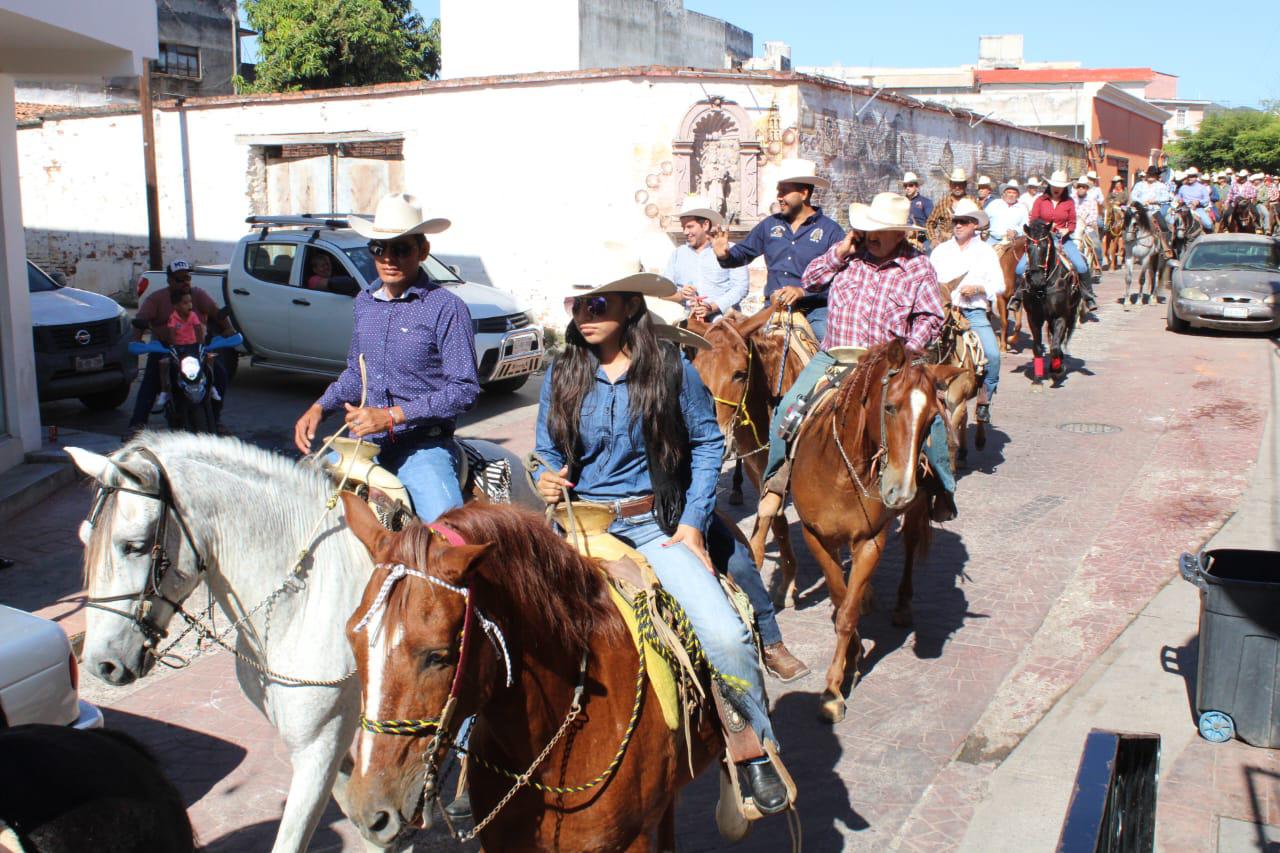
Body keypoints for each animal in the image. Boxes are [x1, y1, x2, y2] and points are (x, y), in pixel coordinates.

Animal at [66, 435, 535, 845]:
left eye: (133, 546)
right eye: (85, 540)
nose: (101, 664)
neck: (302, 598)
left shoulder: (318, 745)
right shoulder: (336, 748)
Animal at [783, 338, 957, 717]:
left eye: (932, 417)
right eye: (889, 407)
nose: (899, 490)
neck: (841, 471)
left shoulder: (870, 540)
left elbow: (846, 613)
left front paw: (834, 687)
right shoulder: (815, 535)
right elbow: (838, 596)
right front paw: (854, 654)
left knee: (910, 545)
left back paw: (900, 605)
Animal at [1018, 222, 1080, 389]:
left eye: (1046, 246)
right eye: (1027, 246)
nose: (1036, 279)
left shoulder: (1060, 317)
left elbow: (1055, 347)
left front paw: (1057, 370)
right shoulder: (1033, 318)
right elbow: (1038, 347)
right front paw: (1038, 379)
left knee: (1058, 342)